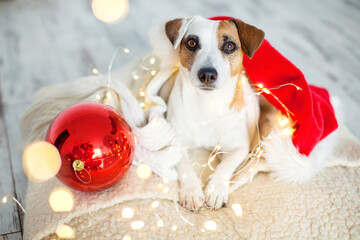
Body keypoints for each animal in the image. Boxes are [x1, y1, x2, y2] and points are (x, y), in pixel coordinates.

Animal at [157, 15, 264, 210]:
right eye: (192, 43)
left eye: (229, 46)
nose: (207, 74)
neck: (207, 104)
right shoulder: (176, 142)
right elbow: (184, 166)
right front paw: (192, 191)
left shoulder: (239, 148)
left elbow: (226, 166)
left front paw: (216, 189)